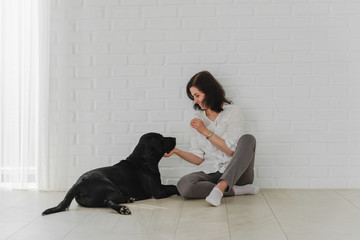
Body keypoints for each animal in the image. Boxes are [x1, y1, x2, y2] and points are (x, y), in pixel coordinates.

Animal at [42, 133, 179, 216]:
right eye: (161, 138)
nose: (174, 138)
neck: (144, 159)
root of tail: (78, 184)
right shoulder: (158, 191)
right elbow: (174, 186)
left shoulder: (159, 186)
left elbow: (172, 185)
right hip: (113, 189)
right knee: (108, 201)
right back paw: (123, 209)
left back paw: (129, 199)